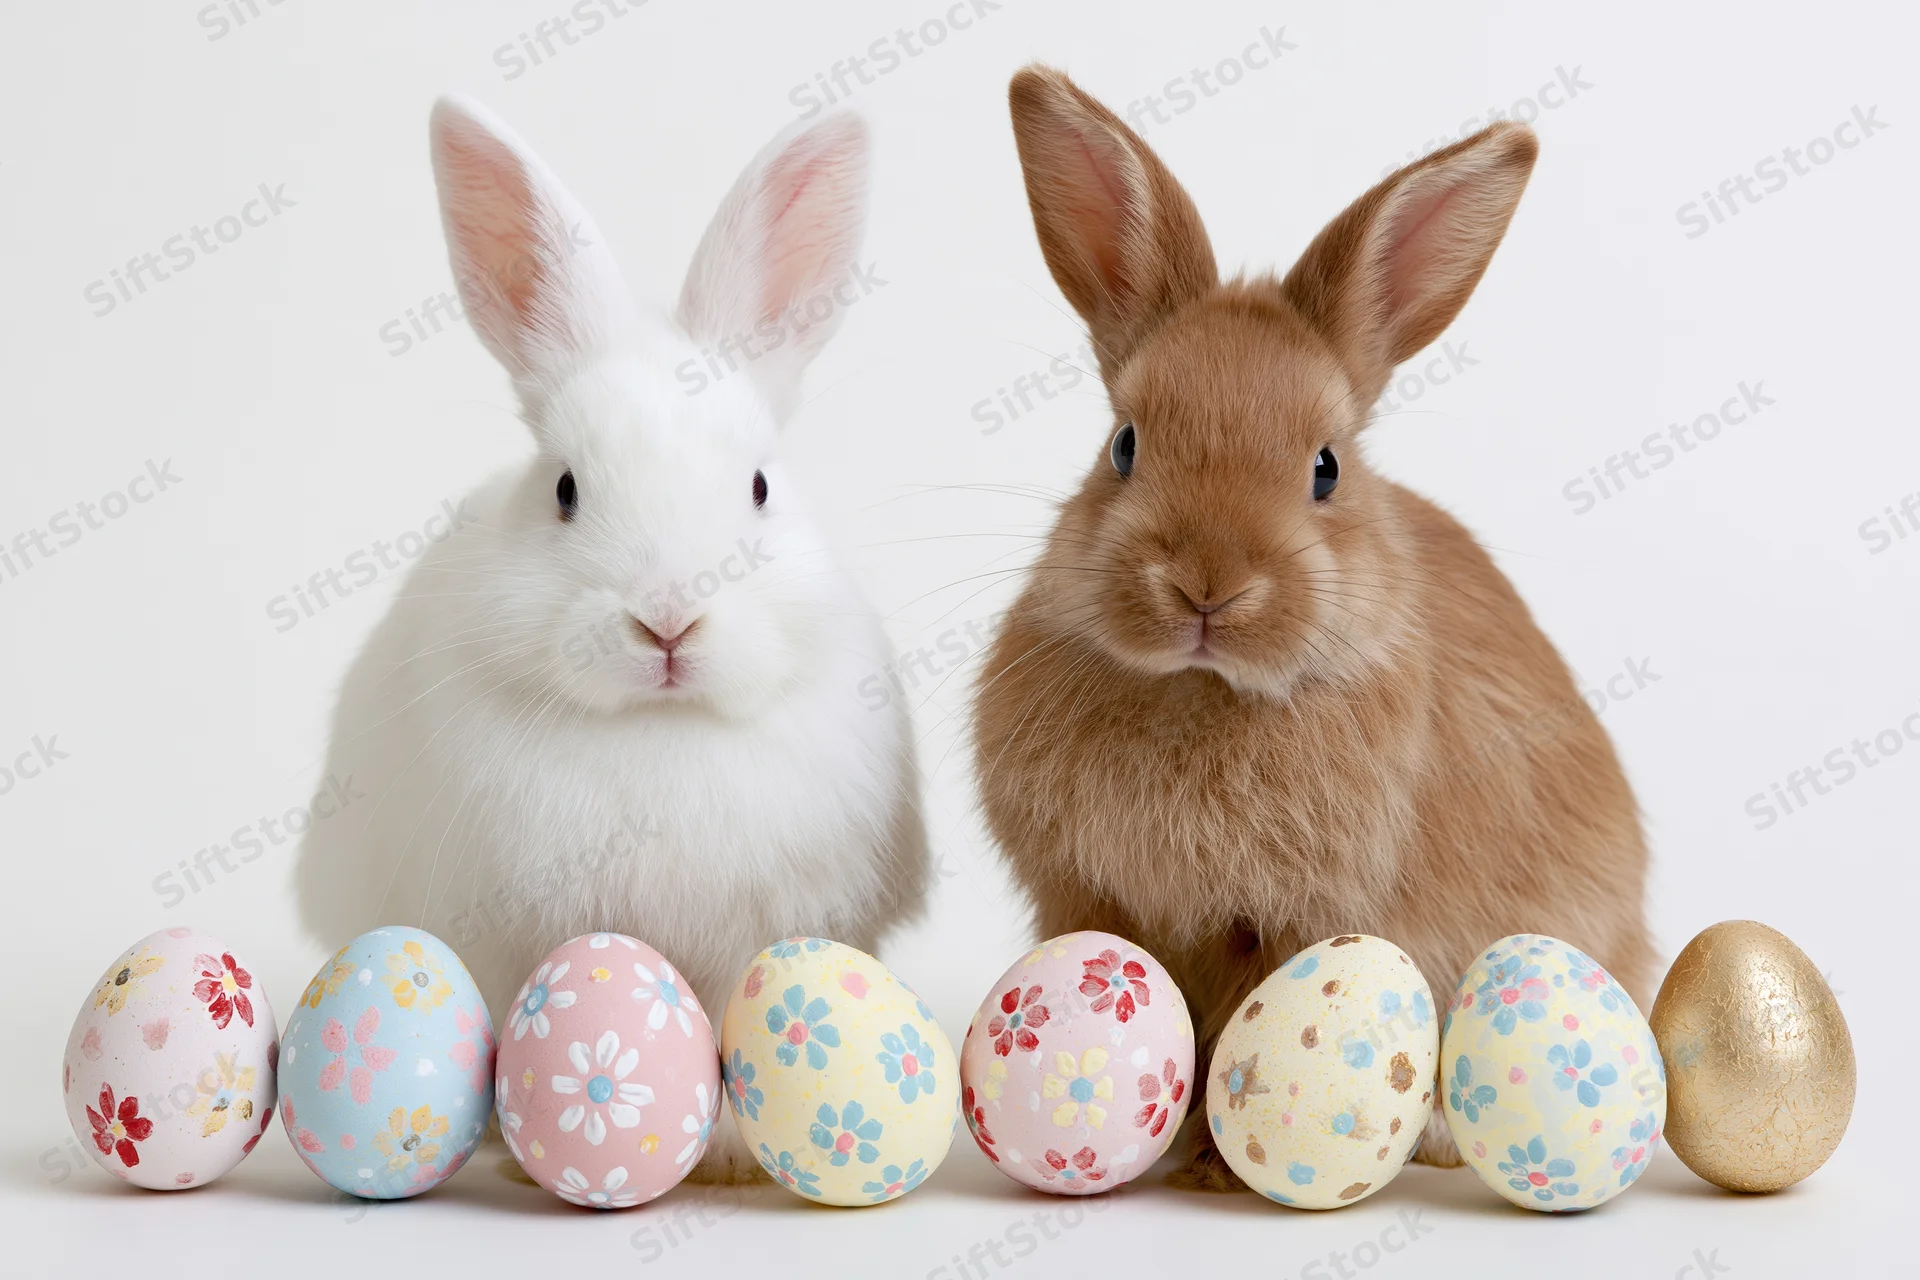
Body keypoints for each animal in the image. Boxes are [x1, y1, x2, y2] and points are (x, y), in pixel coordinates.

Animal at [294, 96, 930, 1184]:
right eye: (564, 489)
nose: (667, 619)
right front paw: (524, 1155)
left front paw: (729, 1157)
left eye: (760, 486)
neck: (658, 728)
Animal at [973, 65, 1653, 1188]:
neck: (1205, 689)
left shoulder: (1311, 921)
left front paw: (1216, 1164)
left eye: (1326, 468)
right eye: (1123, 444)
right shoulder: (1090, 904)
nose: (1207, 586)